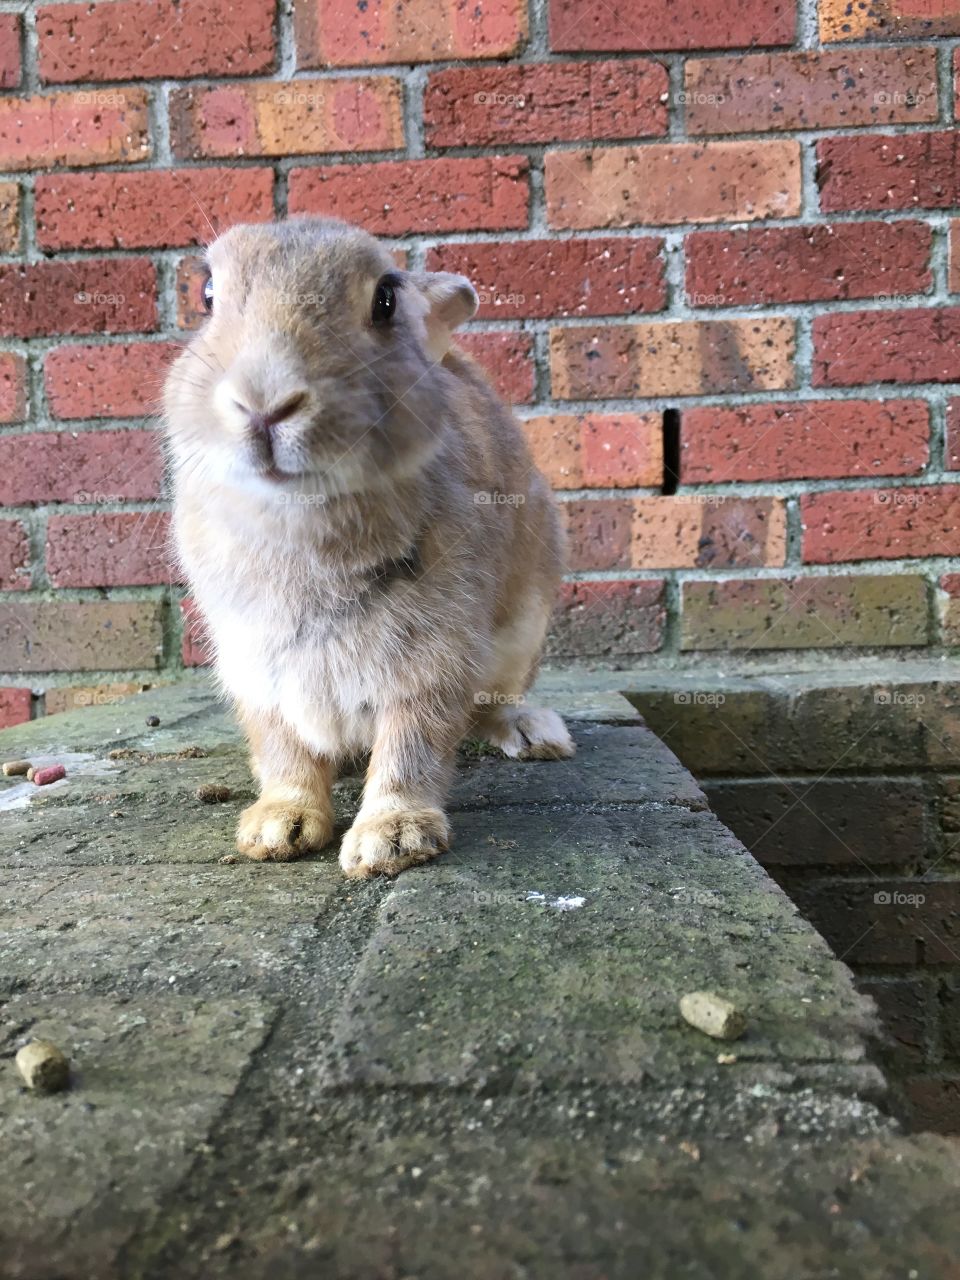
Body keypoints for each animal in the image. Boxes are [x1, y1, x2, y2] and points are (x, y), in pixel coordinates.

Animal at [163, 215, 574, 878]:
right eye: (206, 296)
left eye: (385, 300)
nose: (264, 404)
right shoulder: (255, 661)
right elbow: (282, 746)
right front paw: (277, 826)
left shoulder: (433, 653)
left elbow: (413, 739)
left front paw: (392, 839)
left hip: (522, 633)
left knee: (488, 706)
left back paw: (535, 734)